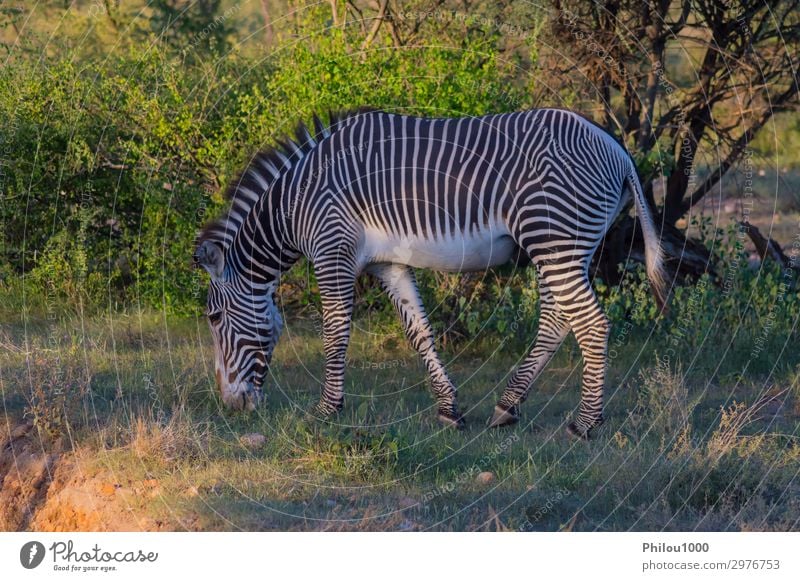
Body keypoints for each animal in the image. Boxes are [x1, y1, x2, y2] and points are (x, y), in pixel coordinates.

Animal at [195, 106, 668, 438]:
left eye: (214, 318)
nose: (230, 407)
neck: (295, 204)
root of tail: (617, 149)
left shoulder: (333, 252)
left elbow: (334, 335)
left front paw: (326, 411)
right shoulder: (389, 262)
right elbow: (418, 331)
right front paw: (448, 409)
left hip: (553, 239)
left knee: (590, 324)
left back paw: (585, 424)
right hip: (562, 246)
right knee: (557, 320)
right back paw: (508, 406)